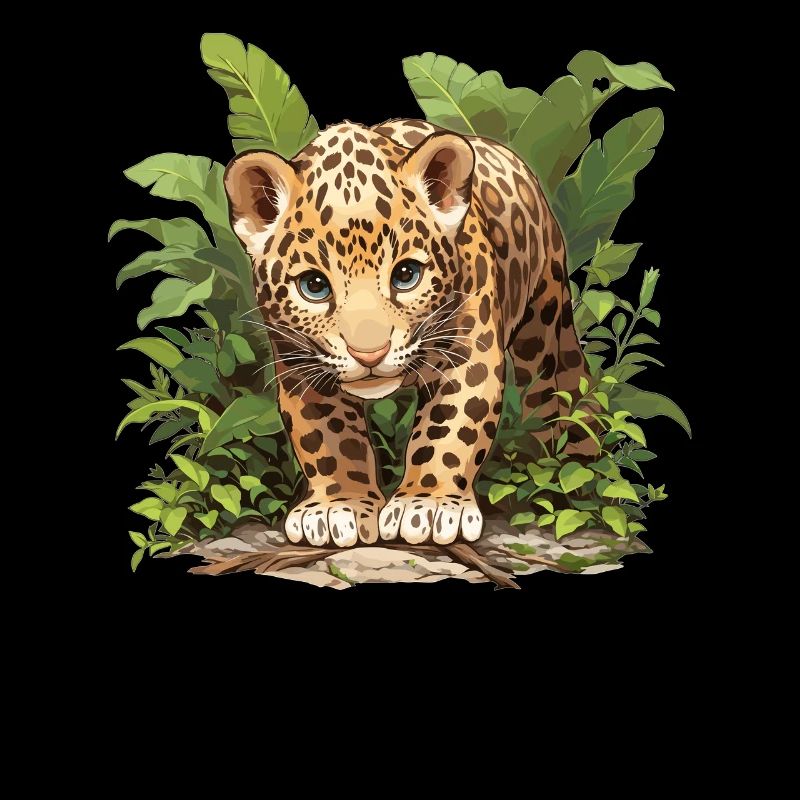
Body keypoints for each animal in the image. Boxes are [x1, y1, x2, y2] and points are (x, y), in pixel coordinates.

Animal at [224, 118, 590, 548]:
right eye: (313, 286)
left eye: (406, 275)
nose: (369, 354)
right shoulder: (302, 366)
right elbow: (329, 438)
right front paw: (339, 507)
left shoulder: (469, 353)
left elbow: (451, 428)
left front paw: (429, 505)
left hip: (545, 320)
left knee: (554, 390)